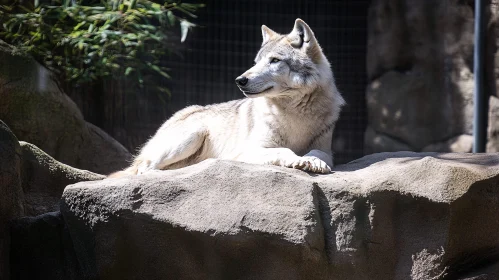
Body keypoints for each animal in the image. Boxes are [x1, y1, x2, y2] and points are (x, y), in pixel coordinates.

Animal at [109, 18, 344, 178]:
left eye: (275, 60)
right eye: (256, 62)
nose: (240, 80)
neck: (295, 114)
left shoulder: (327, 149)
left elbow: (319, 153)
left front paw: (313, 161)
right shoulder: (245, 152)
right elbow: (283, 150)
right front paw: (298, 159)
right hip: (191, 136)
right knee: (143, 169)